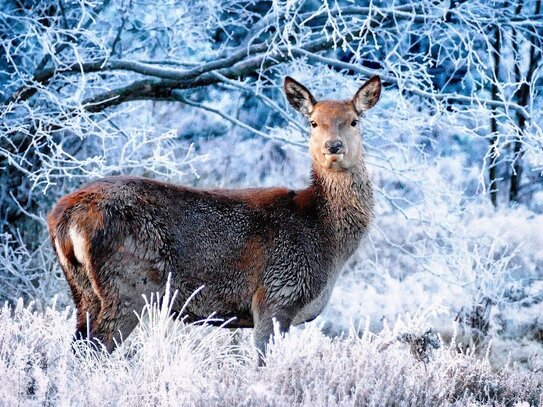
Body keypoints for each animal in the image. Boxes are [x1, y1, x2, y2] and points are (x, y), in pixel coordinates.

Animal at [49, 75, 382, 364]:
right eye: (313, 122)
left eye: (354, 121)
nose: (333, 146)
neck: (325, 236)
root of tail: (62, 218)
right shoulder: (276, 296)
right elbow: (263, 362)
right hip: (128, 284)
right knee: (94, 350)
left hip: (83, 291)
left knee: (77, 347)